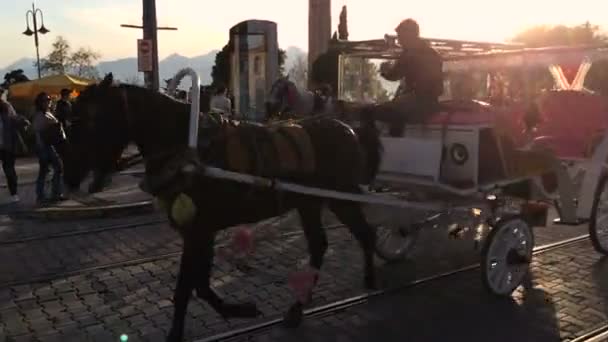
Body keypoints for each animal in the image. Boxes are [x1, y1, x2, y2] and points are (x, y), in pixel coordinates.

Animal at [63, 73, 384, 340]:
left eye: (87, 120)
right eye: (70, 118)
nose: (69, 176)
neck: (188, 148)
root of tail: (349, 129)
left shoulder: (199, 230)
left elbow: (189, 287)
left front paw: (218, 317)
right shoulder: (198, 230)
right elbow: (197, 285)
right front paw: (232, 311)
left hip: (341, 195)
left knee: (364, 233)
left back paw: (369, 277)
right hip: (309, 202)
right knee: (321, 244)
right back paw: (299, 307)